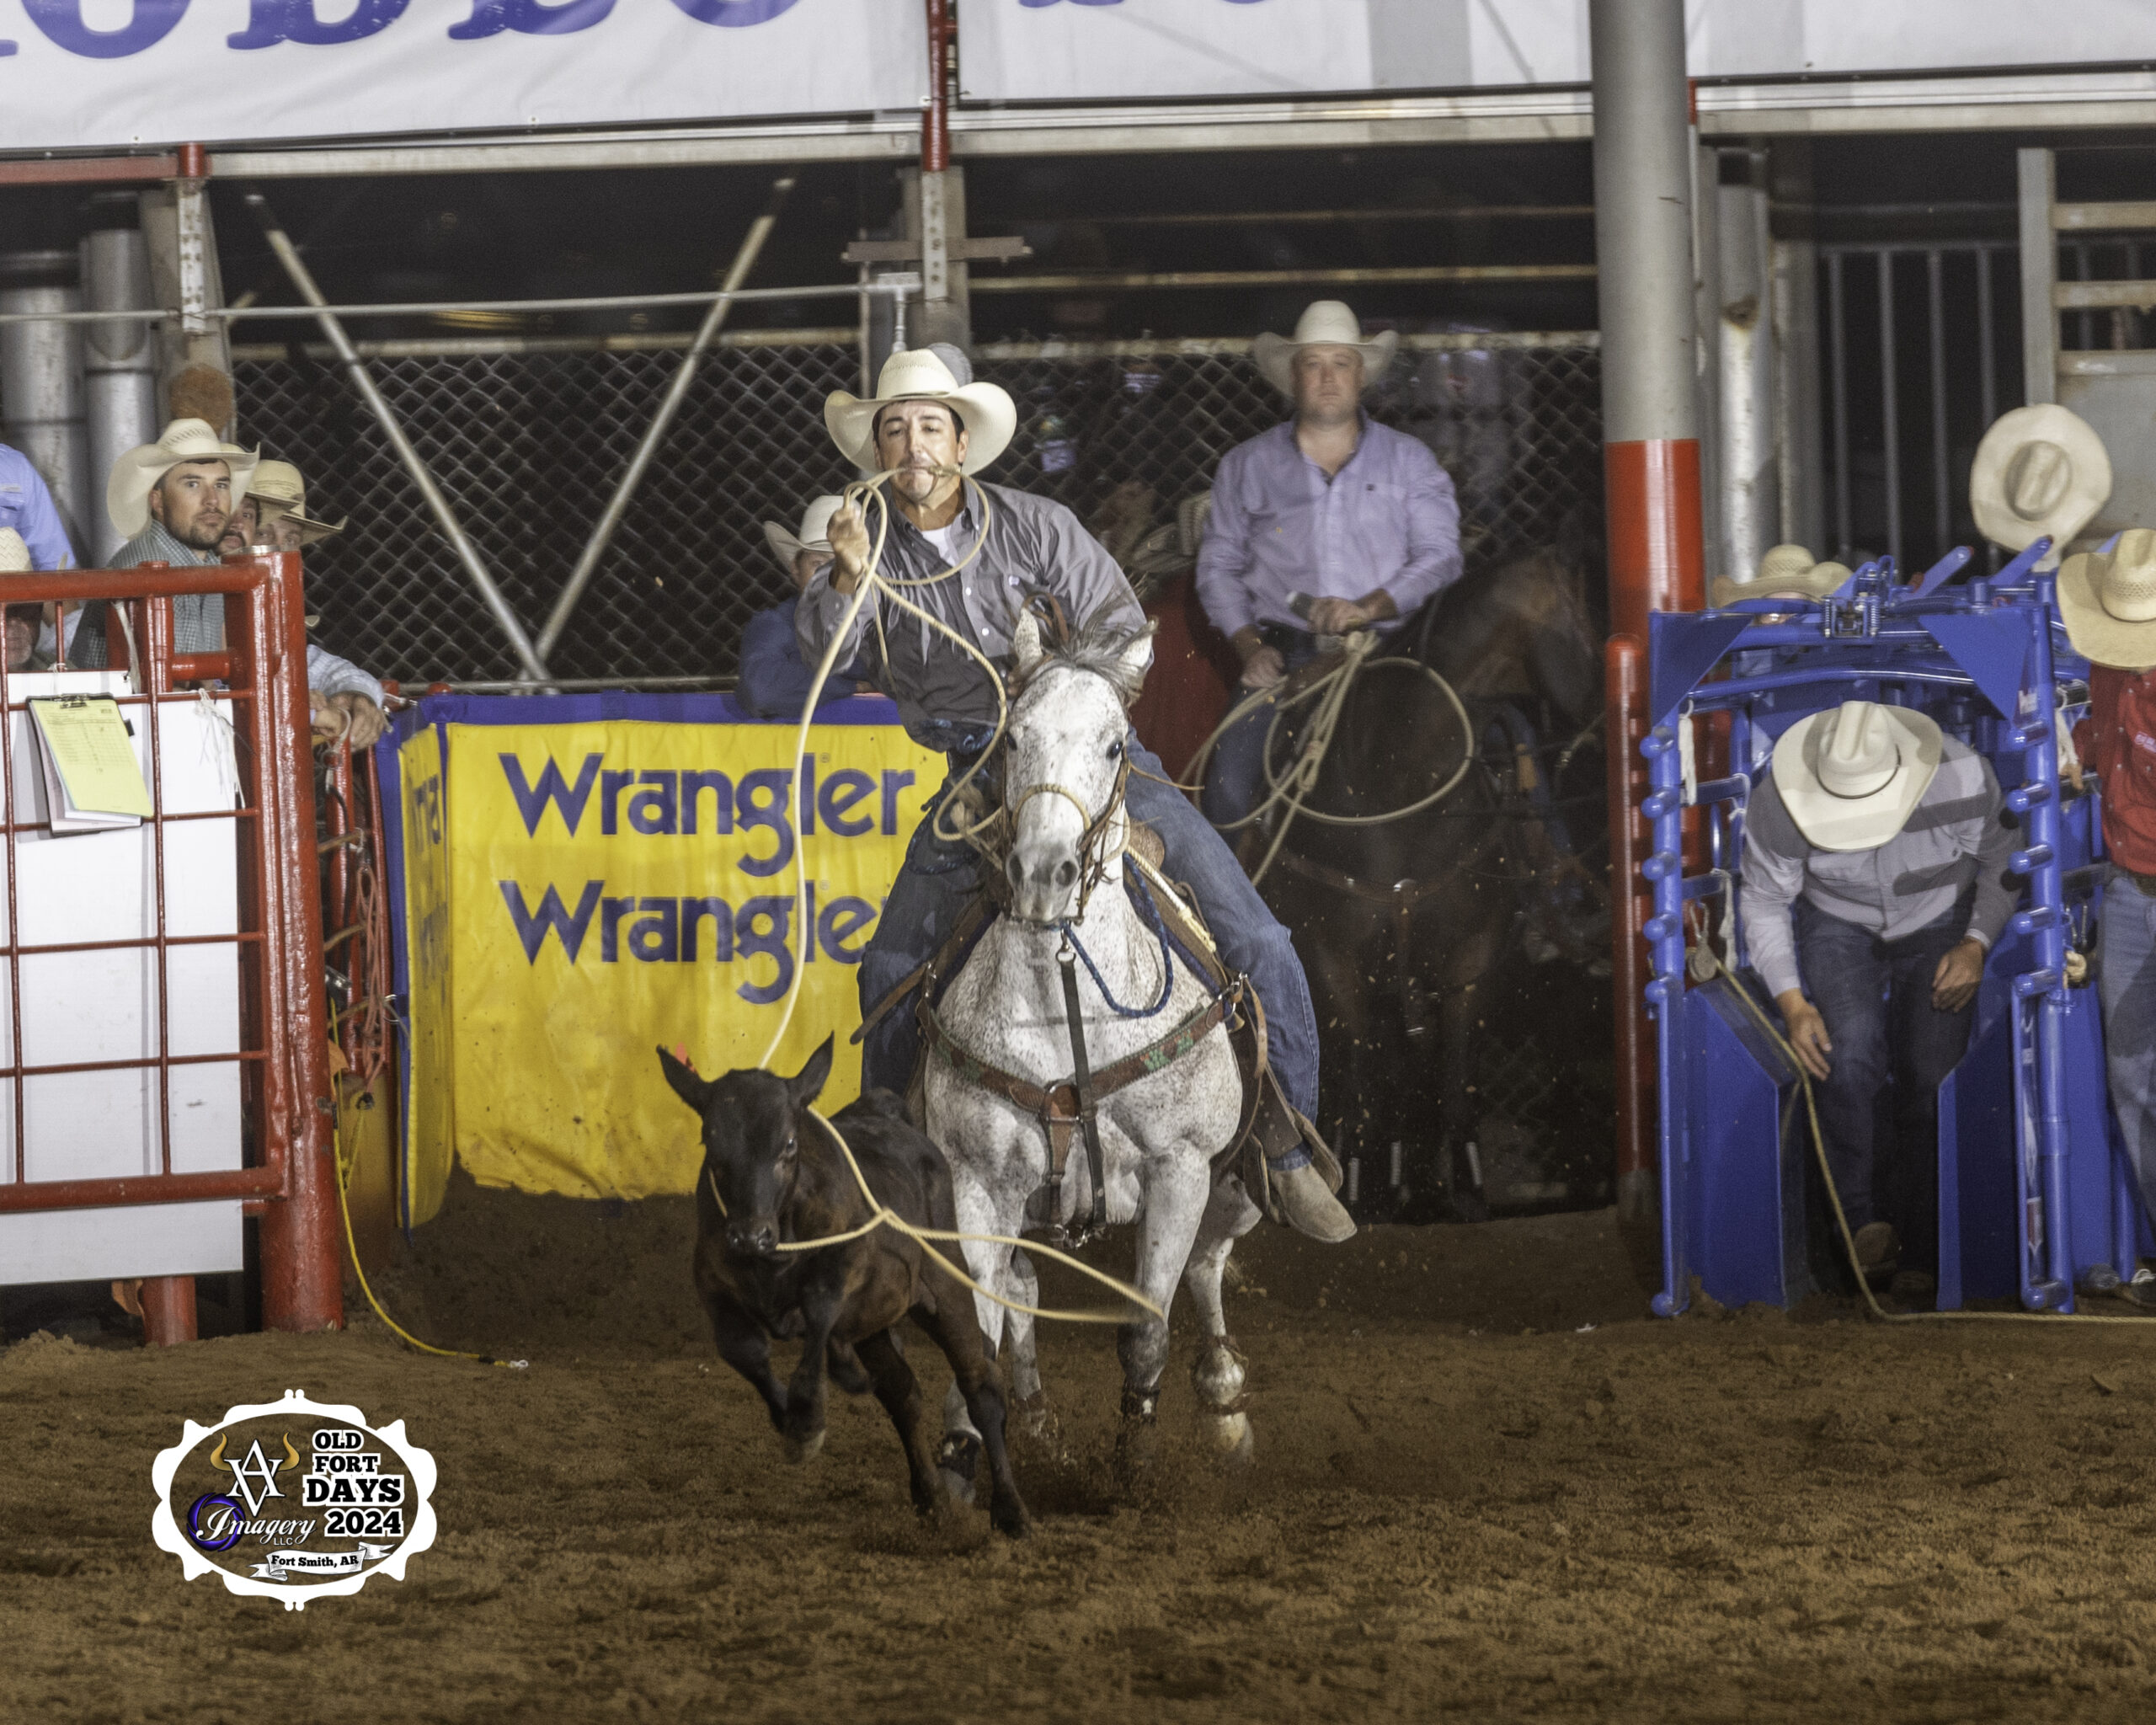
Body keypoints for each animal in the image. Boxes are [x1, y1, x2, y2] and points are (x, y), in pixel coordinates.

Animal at [651, 1039, 1030, 1535]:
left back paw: (1011, 1511)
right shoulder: (716, 1292)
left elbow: (820, 1311)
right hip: (879, 1324)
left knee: (979, 1384)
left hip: (946, 1285)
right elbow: (745, 1351)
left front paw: (809, 1417)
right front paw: (794, 1421)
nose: (749, 1236)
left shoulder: (846, 1263)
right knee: (903, 1391)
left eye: (789, 1143)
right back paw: (930, 1496)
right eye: (710, 1141)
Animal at [1259, 545, 1595, 1215]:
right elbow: (1360, 1079)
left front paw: (1464, 1193)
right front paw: (1352, 1191)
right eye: (1588, 628)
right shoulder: (1333, 963)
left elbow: (1454, 1078)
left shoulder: (1468, 961)